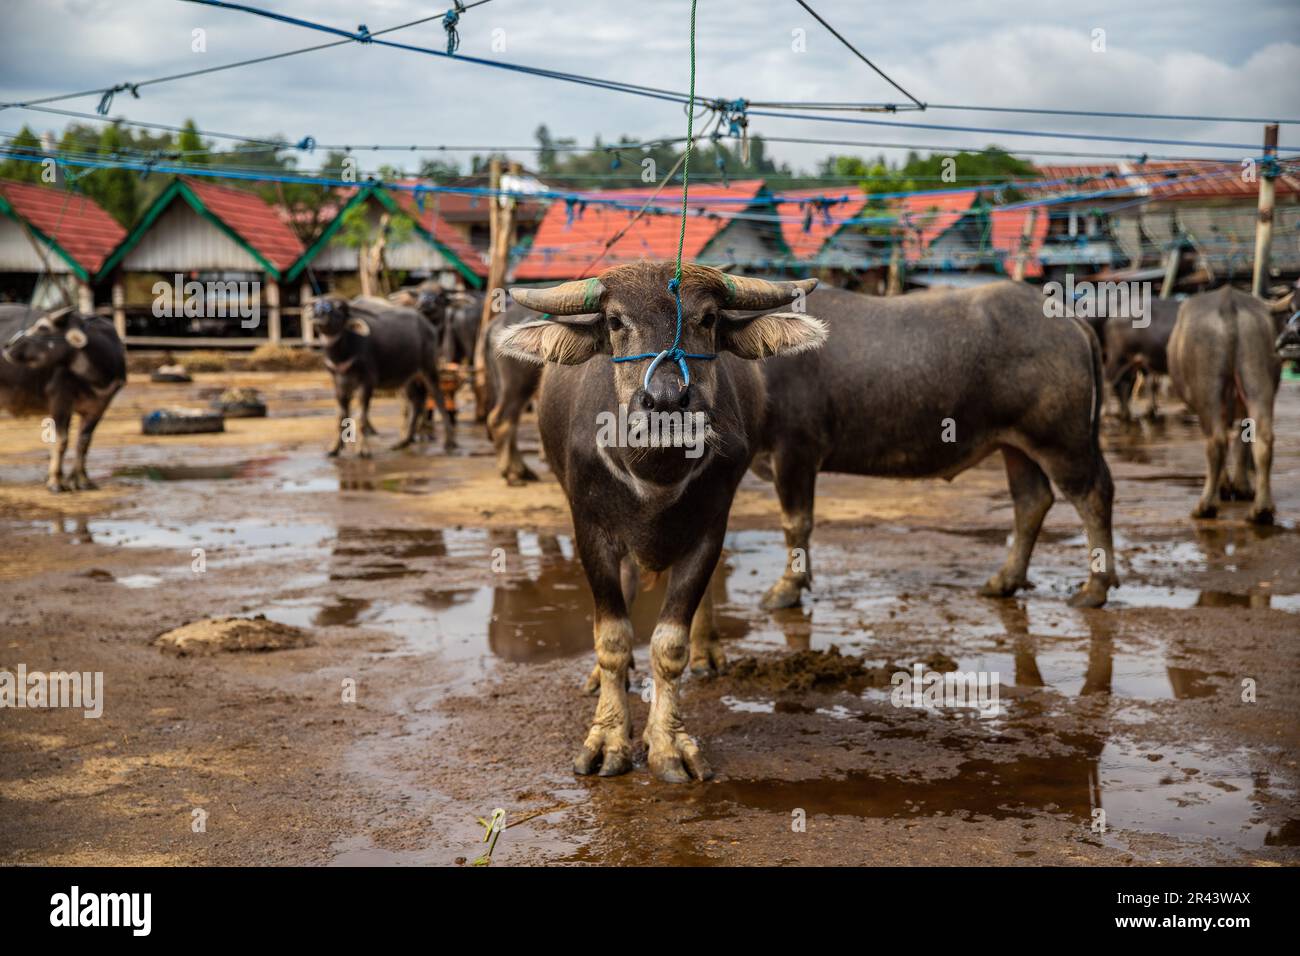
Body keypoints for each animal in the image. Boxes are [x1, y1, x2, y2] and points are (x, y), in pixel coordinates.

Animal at [0, 304, 126, 494]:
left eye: (43, 327)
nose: (8, 345)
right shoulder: (60, 401)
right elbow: (61, 441)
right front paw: (55, 481)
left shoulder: (100, 405)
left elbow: (84, 441)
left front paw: (82, 480)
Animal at [496, 260, 821, 780]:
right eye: (614, 321)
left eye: (708, 318)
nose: (666, 401)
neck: (655, 473)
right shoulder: (591, 530)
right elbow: (612, 636)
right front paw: (609, 736)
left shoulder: (708, 528)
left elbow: (670, 644)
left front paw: (667, 743)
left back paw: (708, 650)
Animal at [759, 282, 1118, 613]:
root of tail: (1069, 318)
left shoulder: (795, 452)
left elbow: (796, 523)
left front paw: (786, 589)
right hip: (1016, 446)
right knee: (1032, 501)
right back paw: (1004, 581)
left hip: (1060, 442)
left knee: (1092, 495)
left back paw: (1094, 588)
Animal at [1170, 283, 1279, 522]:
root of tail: (1228, 303)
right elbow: (1241, 442)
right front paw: (1241, 487)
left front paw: (1227, 486)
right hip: (1258, 375)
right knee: (1262, 437)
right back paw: (1261, 510)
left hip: (1208, 388)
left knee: (1216, 441)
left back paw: (1205, 506)